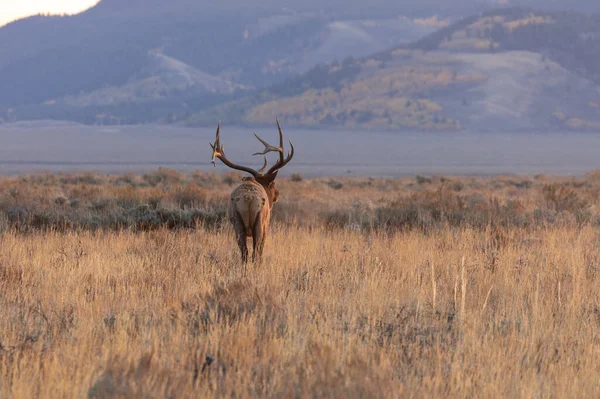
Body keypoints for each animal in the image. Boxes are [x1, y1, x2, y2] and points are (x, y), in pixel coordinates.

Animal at [210, 120, 294, 264]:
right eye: (272, 184)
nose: (277, 194)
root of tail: (248, 198)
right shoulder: (266, 227)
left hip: (237, 224)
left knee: (244, 252)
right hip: (259, 224)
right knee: (255, 252)